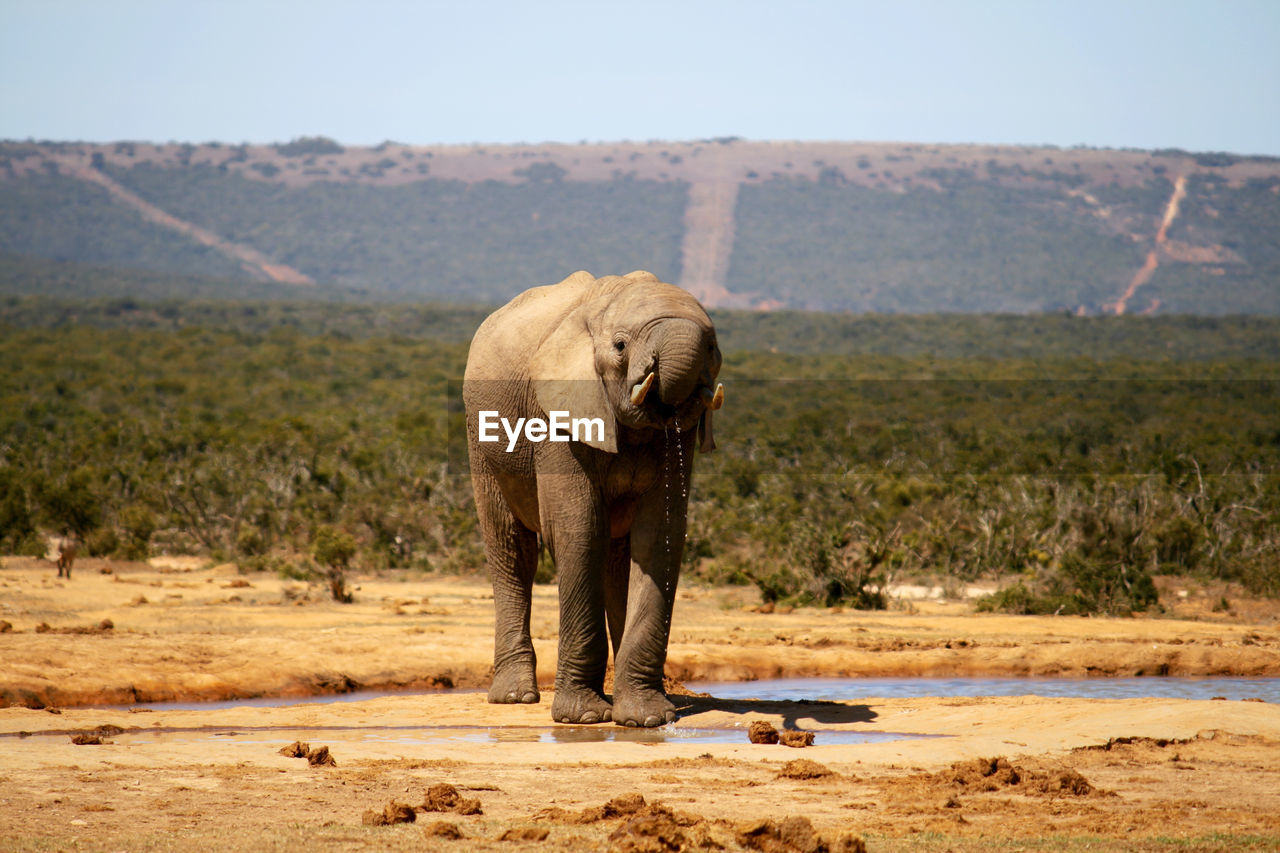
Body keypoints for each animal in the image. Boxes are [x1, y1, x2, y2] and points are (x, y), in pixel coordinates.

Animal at [463, 268, 727, 722]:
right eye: (620, 346)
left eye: (712, 347)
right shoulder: (557, 415)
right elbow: (578, 529)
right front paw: (583, 718)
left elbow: (659, 536)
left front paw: (648, 718)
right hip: (480, 438)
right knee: (513, 548)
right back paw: (515, 698)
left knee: (617, 557)